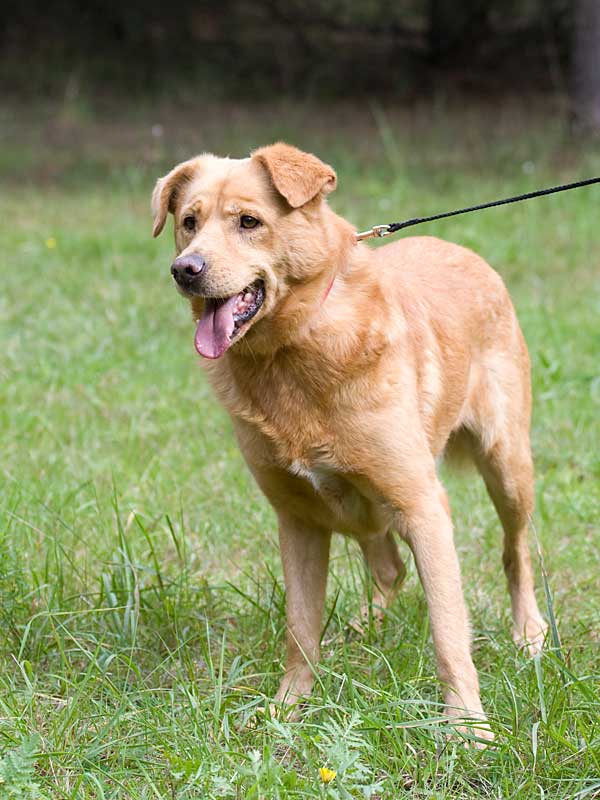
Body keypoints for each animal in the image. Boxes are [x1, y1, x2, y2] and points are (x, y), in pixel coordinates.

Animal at [152, 143, 547, 741]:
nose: (185, 270)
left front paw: (467, 726)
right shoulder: (298, 518)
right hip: (361, 505)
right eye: (189, 223)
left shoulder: (423, 507)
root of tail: (460, 249)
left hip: (505, 467)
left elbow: (448, 632)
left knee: (514, 551)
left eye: (249, 222)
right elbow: (300, 630)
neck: (290, 351)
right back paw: (362, 631)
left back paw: (528, 632)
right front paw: (289, 708)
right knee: (389, 569)